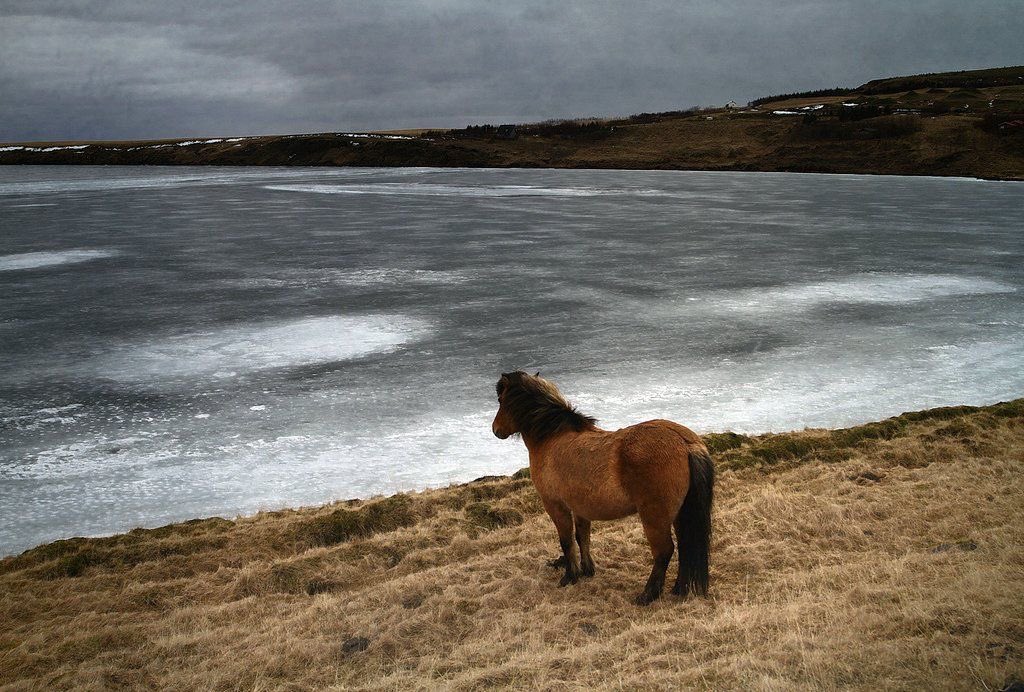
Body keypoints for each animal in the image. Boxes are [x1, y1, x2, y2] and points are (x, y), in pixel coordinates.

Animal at [491, 371, 714, 605]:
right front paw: (587, 570)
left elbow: (566, 540)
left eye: (500, 400)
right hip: (680, 513)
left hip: (655, 517)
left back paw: (647, 595)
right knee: (685, 544)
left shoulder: (555, 505)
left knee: (664, 551)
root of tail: (684, 442)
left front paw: (570, 576)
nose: (495, 430)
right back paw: (678, 588)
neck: (552, 439)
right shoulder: (579, 507)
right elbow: (582, 537)